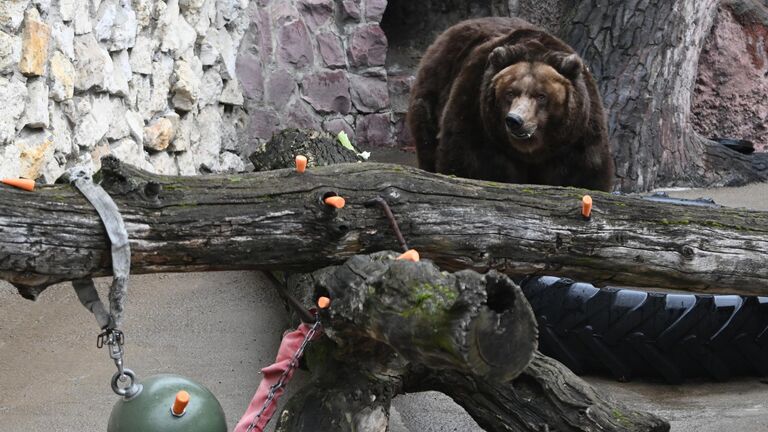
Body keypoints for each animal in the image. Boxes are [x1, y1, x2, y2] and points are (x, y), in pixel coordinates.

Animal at [404, 18, 616, 191]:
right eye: (510, 93)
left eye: (541, 96)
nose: (515, 120)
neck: (532, 151)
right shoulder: (477, 118)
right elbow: (470, 164)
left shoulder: (577, 138)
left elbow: (584, 174)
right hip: (433, 90)